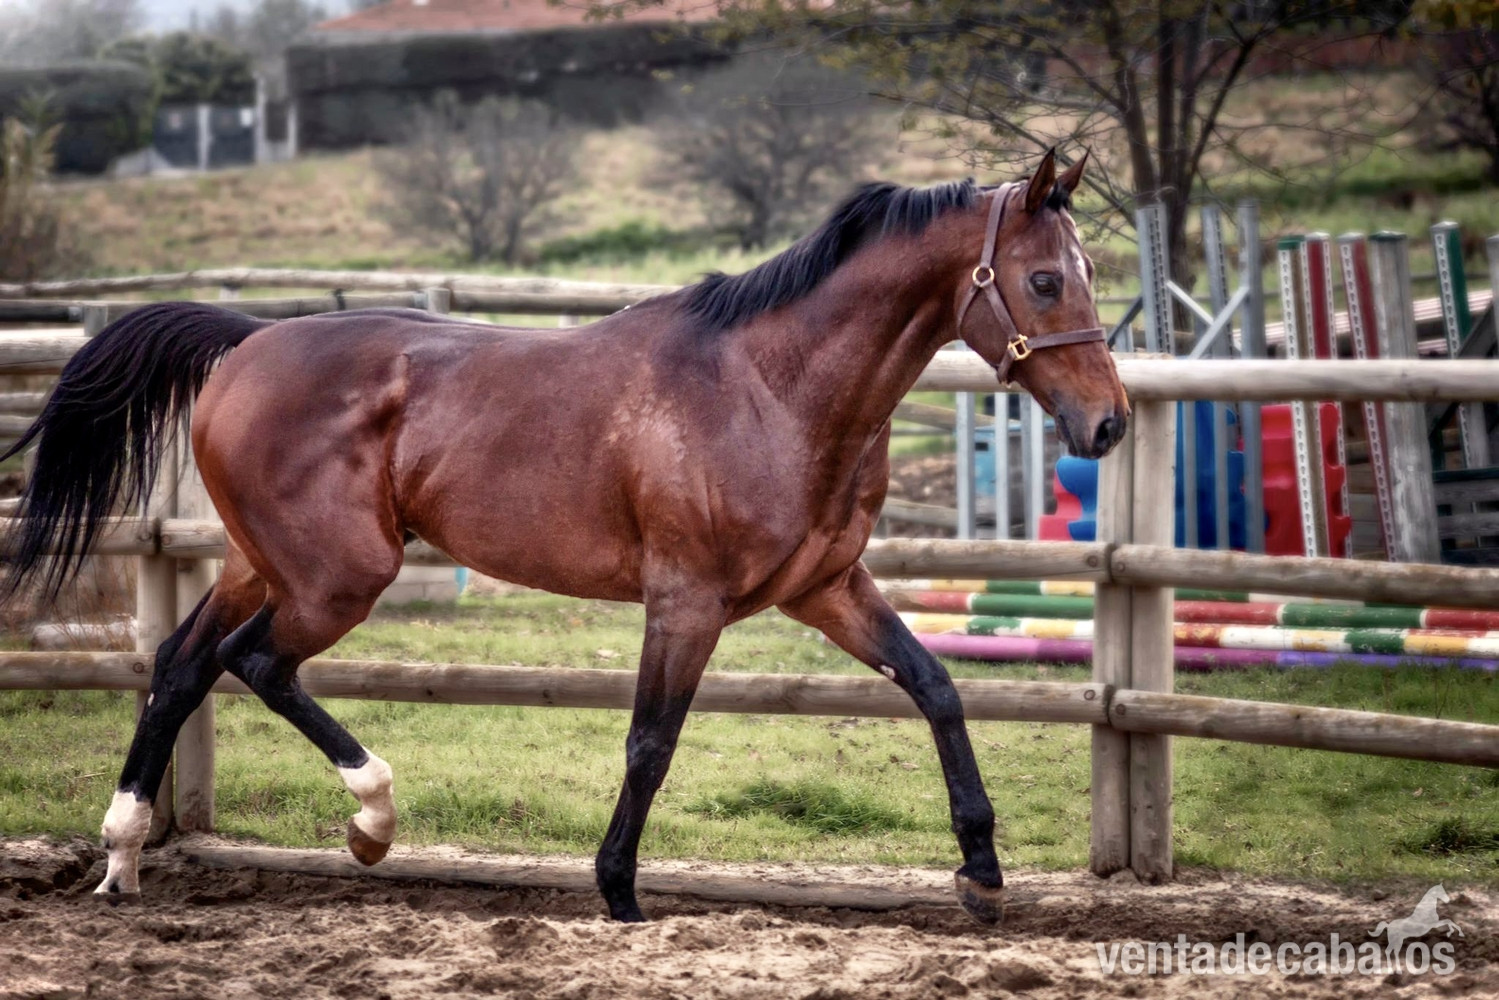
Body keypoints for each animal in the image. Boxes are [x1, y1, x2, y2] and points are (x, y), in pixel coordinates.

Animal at [2, 149, 1127, 924]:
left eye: (1082, 271)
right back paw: (371, 819)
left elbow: (936, 686)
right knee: (254, 663)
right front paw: (618, 890)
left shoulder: (828, 588)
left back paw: (124, 854)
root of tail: (246, 342)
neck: (770, 388)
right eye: (1042, 281)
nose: (1108, 425)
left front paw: (981, 872)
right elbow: (650, 741)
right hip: (337, 577)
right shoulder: (687, 600)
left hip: (262, 563)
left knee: (182, 663)